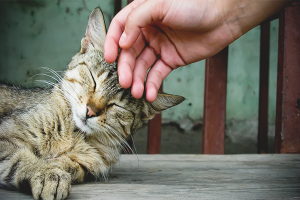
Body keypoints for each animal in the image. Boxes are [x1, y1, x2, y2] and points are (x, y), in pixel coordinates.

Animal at [0, 6, 183, 200]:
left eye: (116, 105)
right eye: (94, 80)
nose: (90, 111)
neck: (76, 135)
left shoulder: (89, 164)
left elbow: (75, 167)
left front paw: (58, 166)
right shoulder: (5, 136)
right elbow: (21, 159)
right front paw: (47, 174)